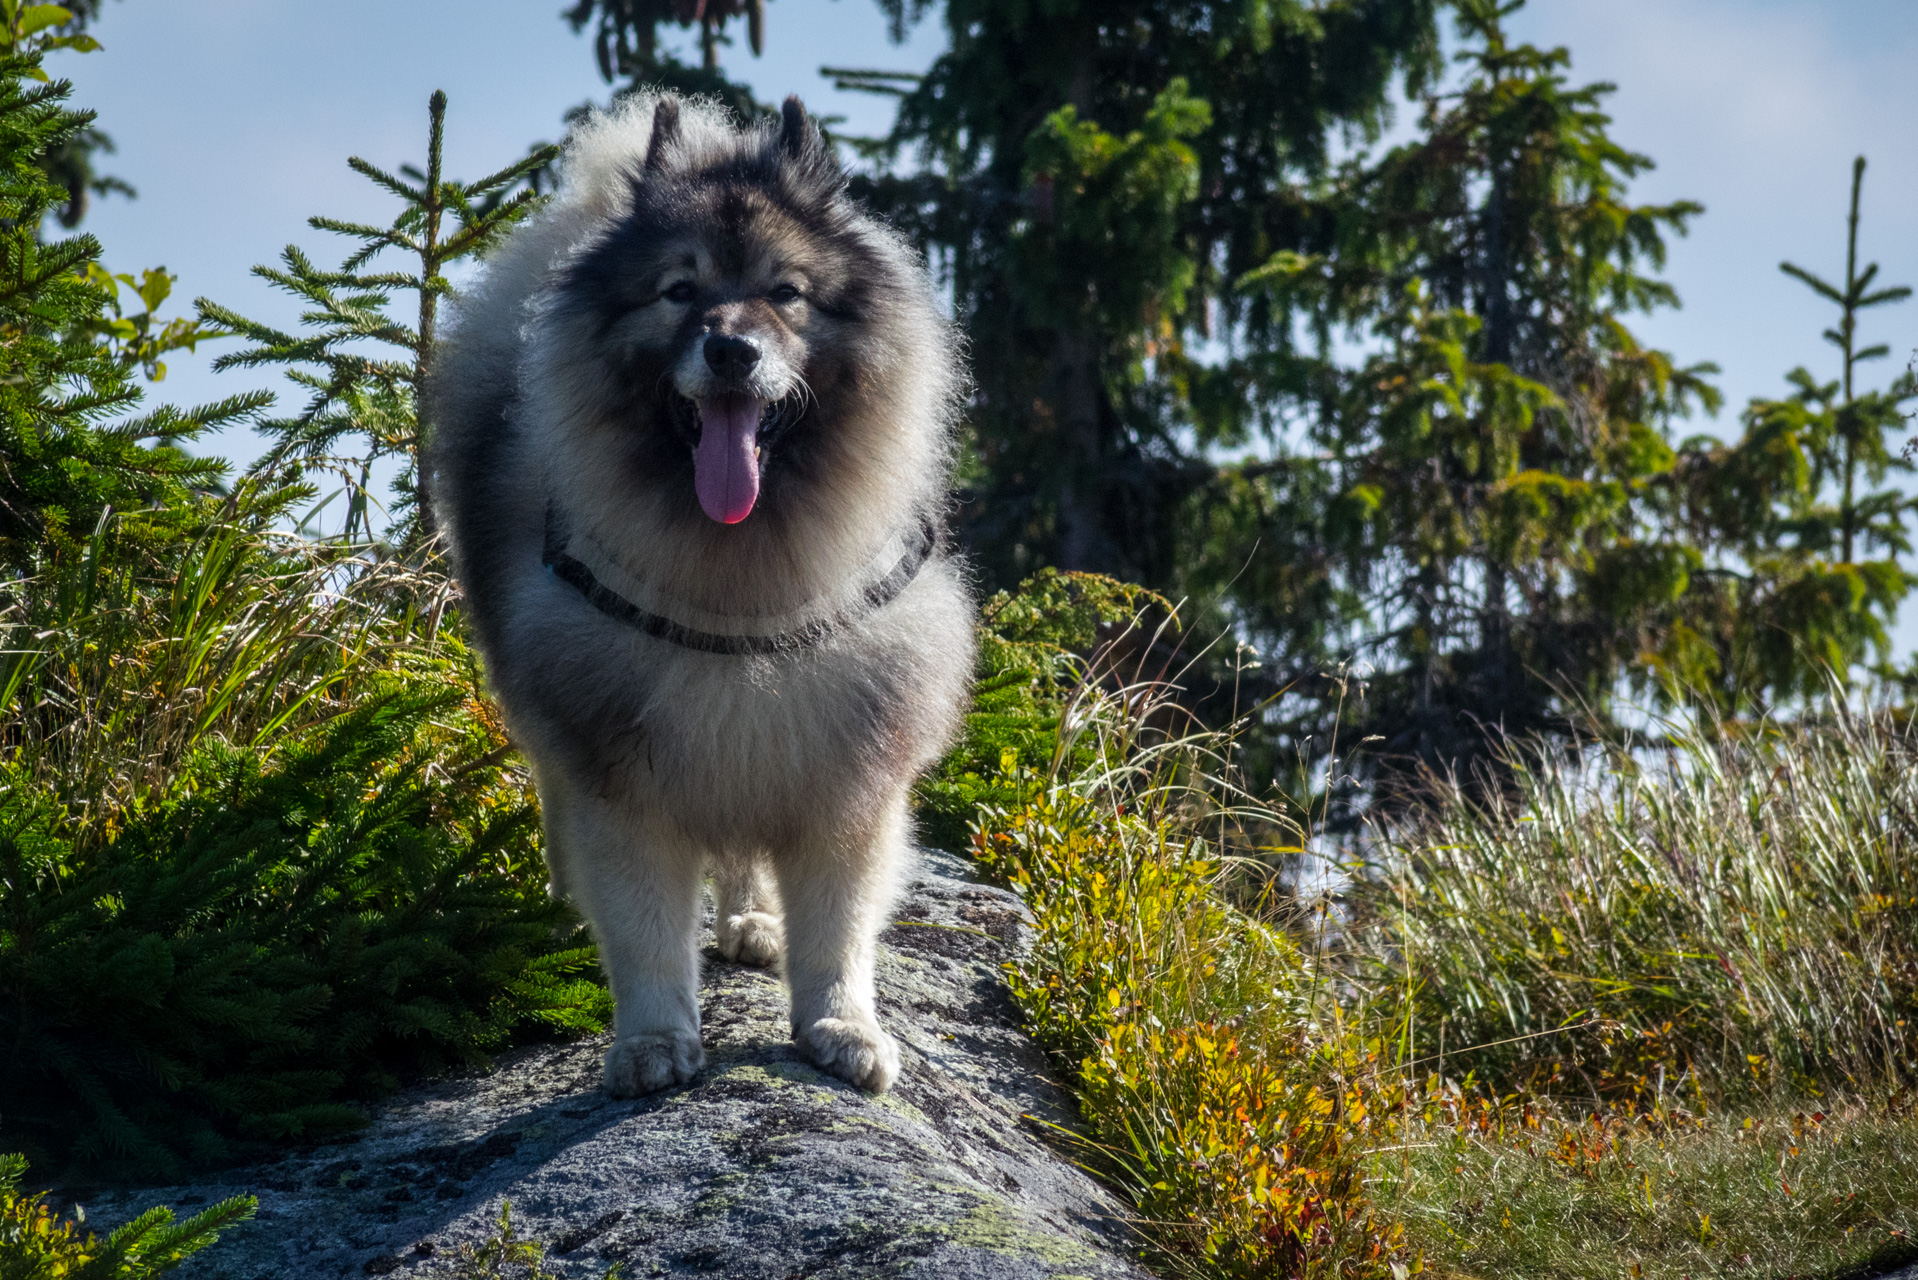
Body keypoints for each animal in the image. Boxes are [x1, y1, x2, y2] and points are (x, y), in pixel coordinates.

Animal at [433, 94, 974, 1105]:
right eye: (678, 292)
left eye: (785, 292)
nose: (731, 348)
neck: (739, 579)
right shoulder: (620, 776)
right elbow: (645, 930)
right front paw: (652, 1040)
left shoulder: (842, 774)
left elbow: (839, 932)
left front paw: (841, 1027)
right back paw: (562, 914)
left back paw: (755, 923)